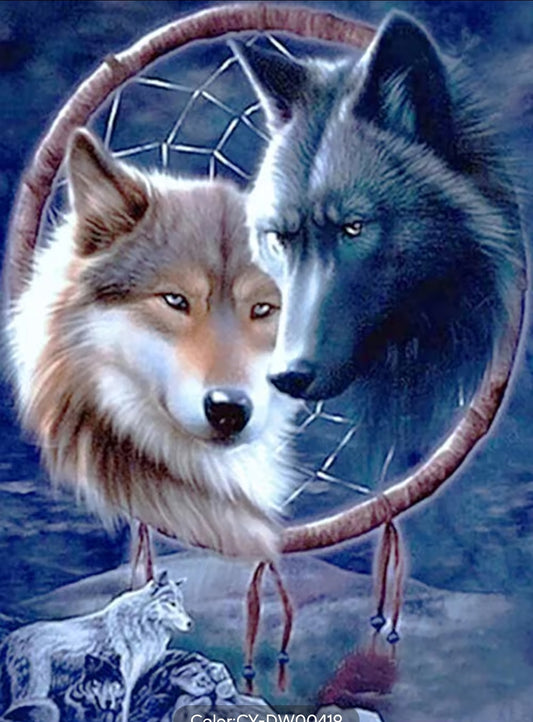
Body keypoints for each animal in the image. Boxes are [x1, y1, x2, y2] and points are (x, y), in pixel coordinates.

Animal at [0, 573, 190, 721]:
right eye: (172, 603)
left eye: (181, 603)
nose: (190, 623)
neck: (140, 623)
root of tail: (10, 638)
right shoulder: (125, 681)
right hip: (35, 691)